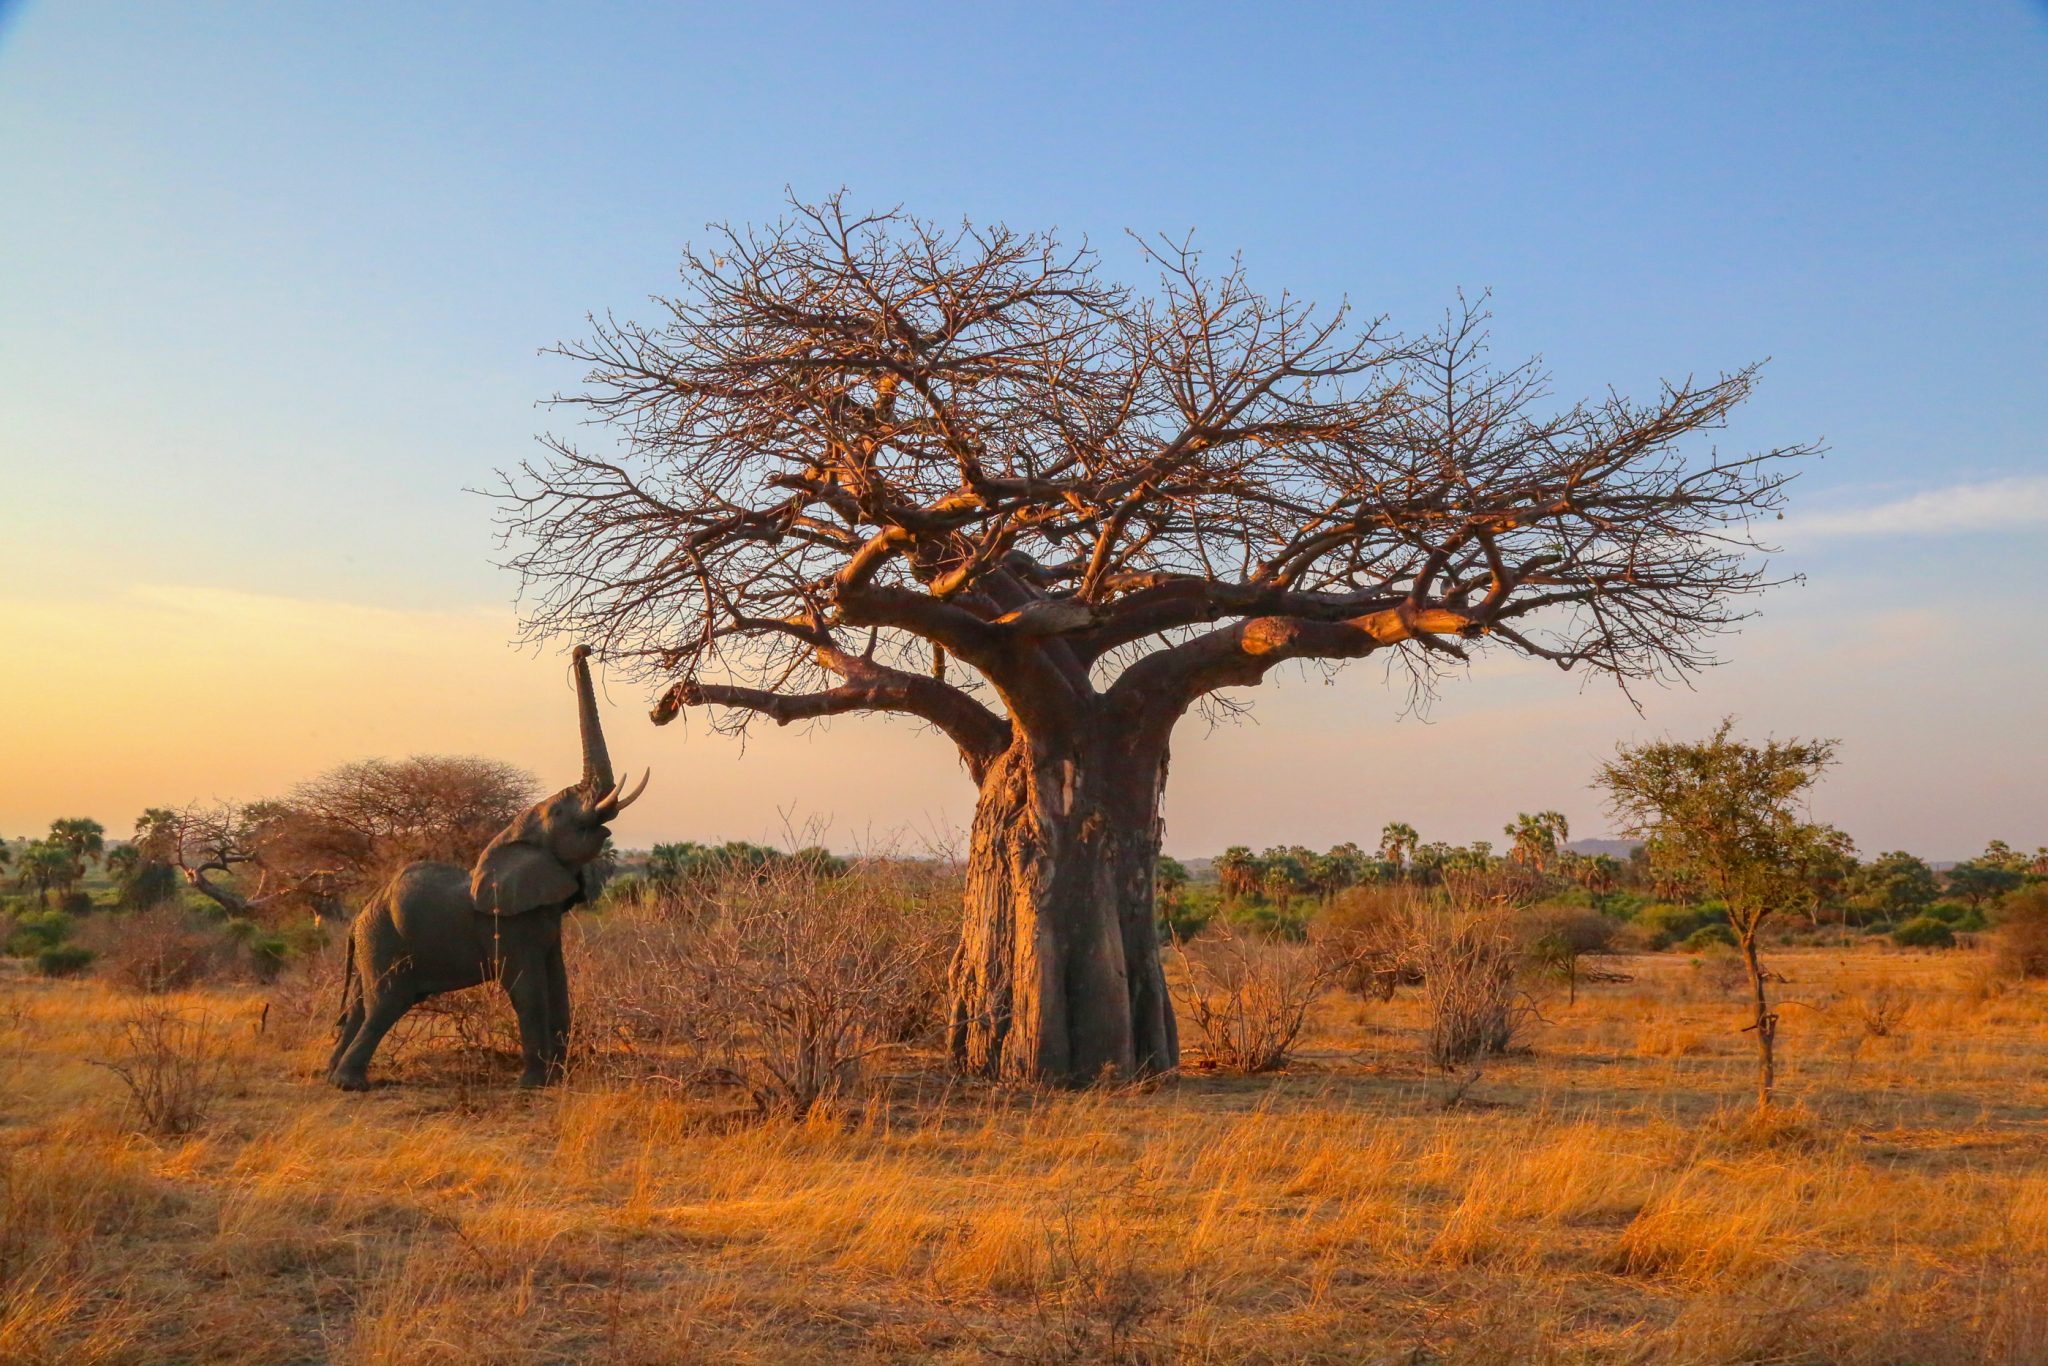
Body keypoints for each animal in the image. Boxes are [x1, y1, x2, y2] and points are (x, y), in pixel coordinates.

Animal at [326, 646, 648, 1090]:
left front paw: (556, 1077)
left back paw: (330, 1075)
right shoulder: (507, 925)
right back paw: (349, 1083)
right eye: (561, 811)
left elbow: (558, 982)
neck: (512, 838)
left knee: (359, 1006)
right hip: (385, 941)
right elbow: (528, 989)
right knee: (386, 1002)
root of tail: (359, 916)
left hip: (373, 939)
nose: (581, 649)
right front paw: (533, 1083)